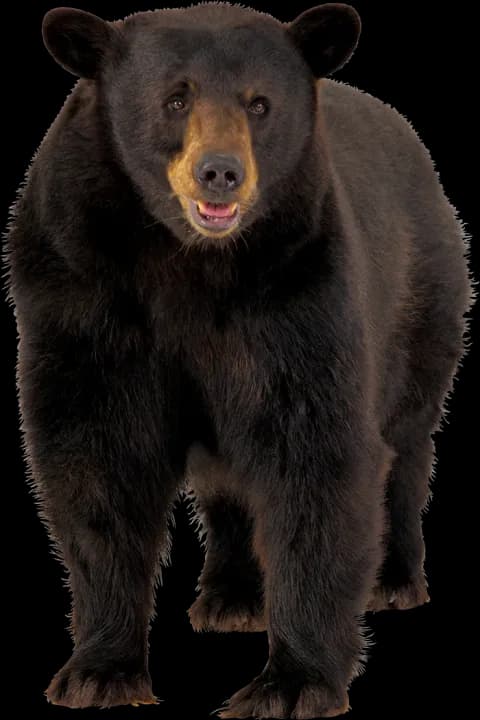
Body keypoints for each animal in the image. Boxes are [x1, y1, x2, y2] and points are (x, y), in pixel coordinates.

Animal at [4, 1, 473, 717]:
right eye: (175, 99)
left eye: (260, 104)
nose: (219, 171)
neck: (188, 260)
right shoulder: (78, 289)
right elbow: (98, 461)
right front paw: (98, 671)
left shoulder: (301, 285)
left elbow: (317, 451)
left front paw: (292, 682)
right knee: (227, 477)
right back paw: (231, 597)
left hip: (422, 300)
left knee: (407, 438)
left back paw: (394, 578)